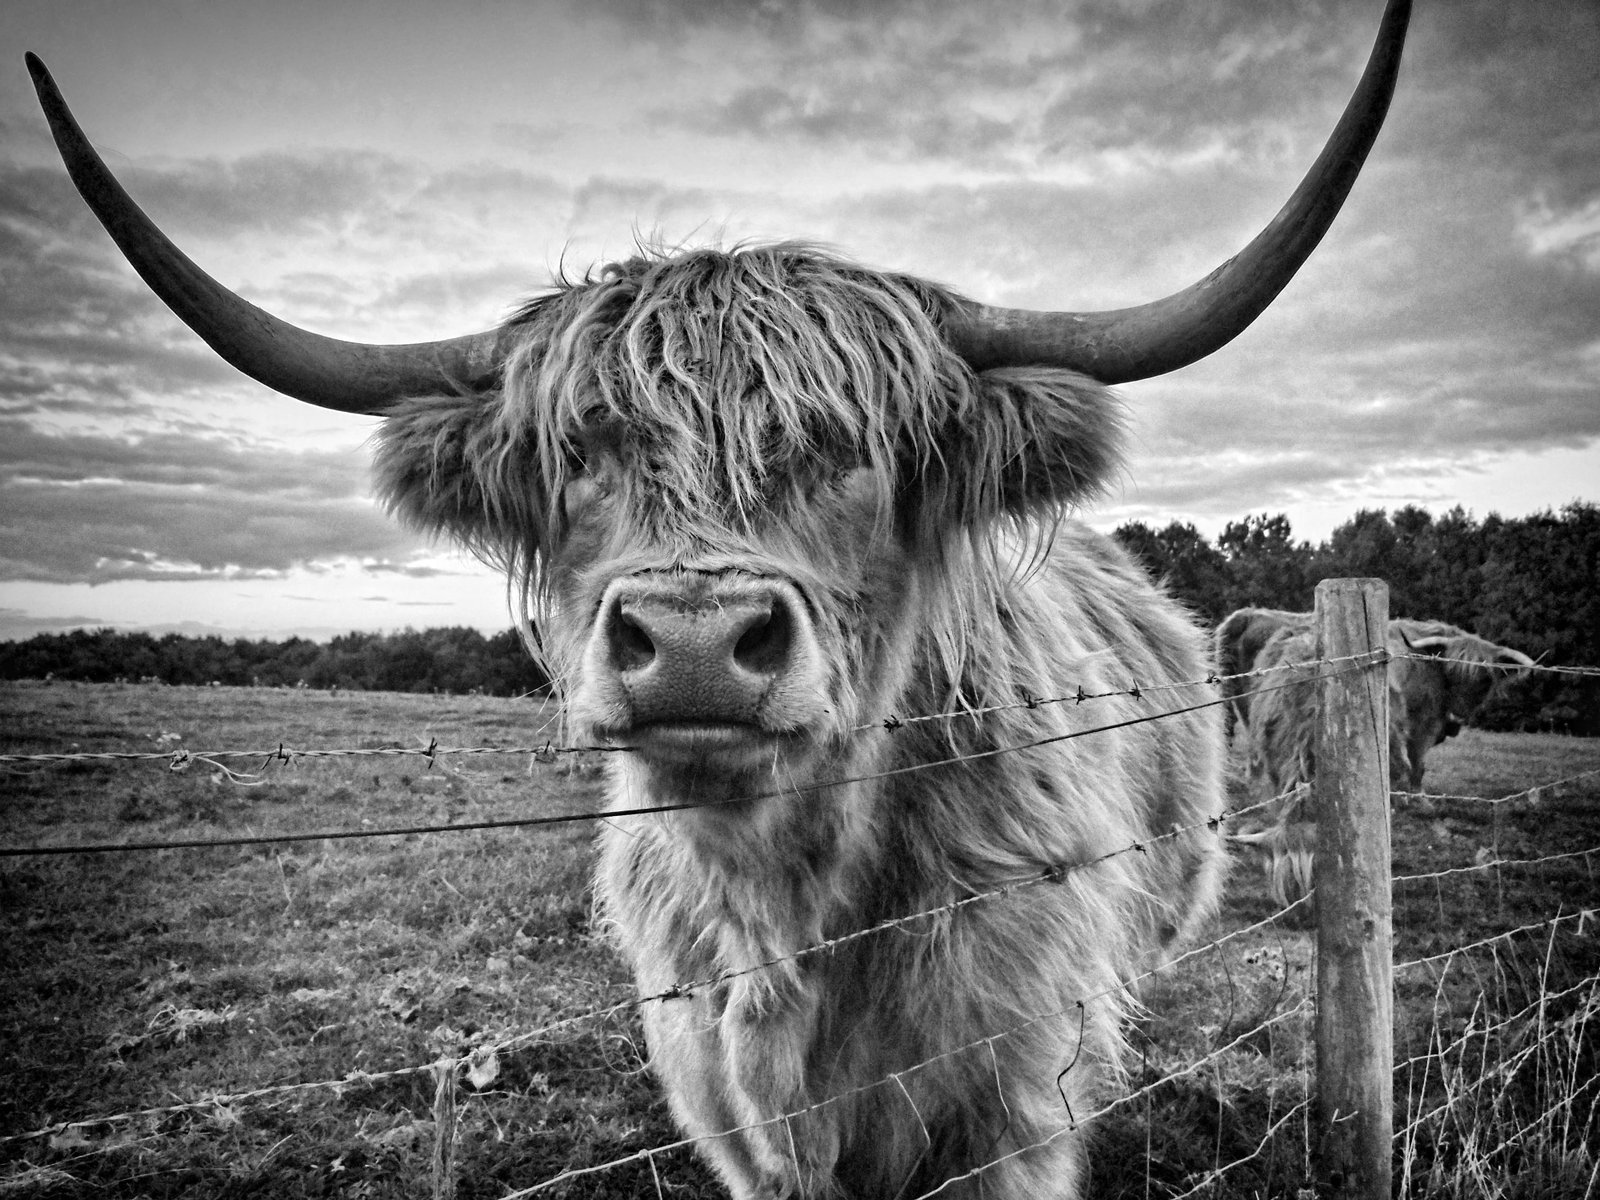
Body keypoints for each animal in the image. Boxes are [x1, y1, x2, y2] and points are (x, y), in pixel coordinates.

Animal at [26, 3, 1407, 1194]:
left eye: (855, 452)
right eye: (579, 452)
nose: (692, 643)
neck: (782, 917)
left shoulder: (1014, 1108)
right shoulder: (727, 1115)